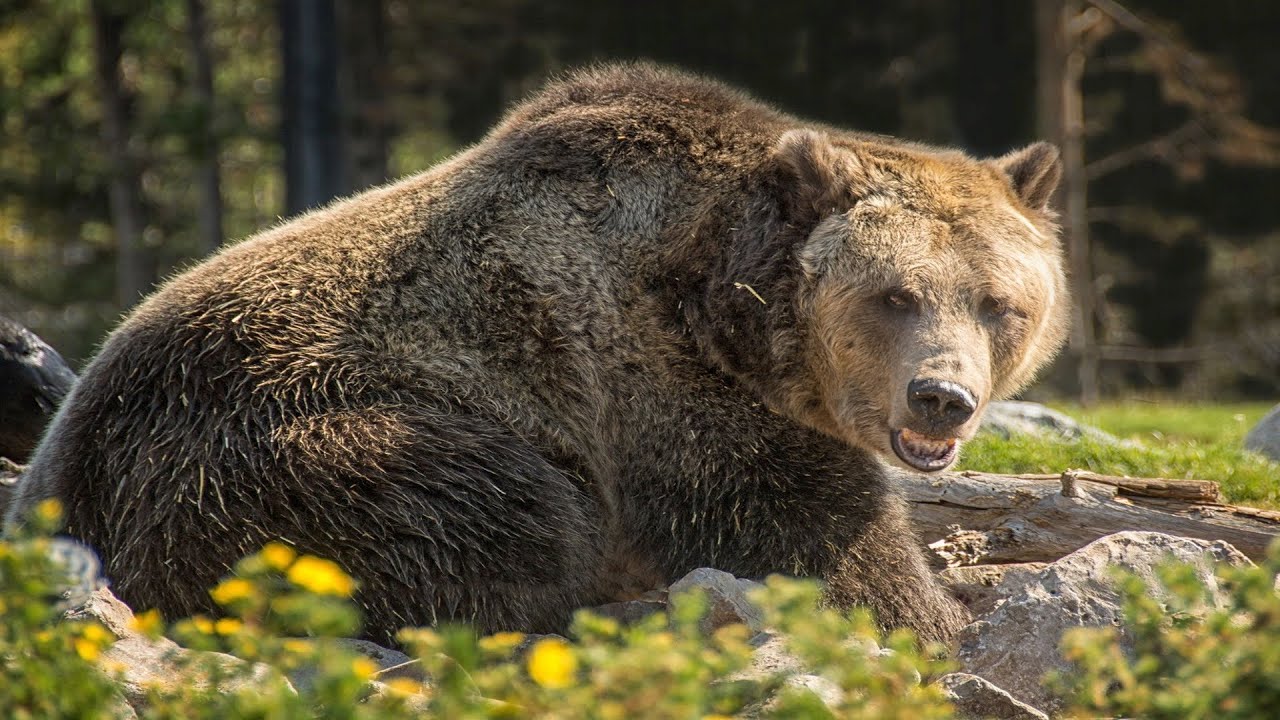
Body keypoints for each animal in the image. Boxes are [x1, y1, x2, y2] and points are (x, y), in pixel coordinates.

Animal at [7, 63, 1070, 645]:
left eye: (1000, 305)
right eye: (895, 296)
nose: (942, 398)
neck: (730, 302)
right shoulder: (662, 387)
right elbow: (814, 537)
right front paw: (933, 616)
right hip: (267, 452)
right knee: (504, 510)